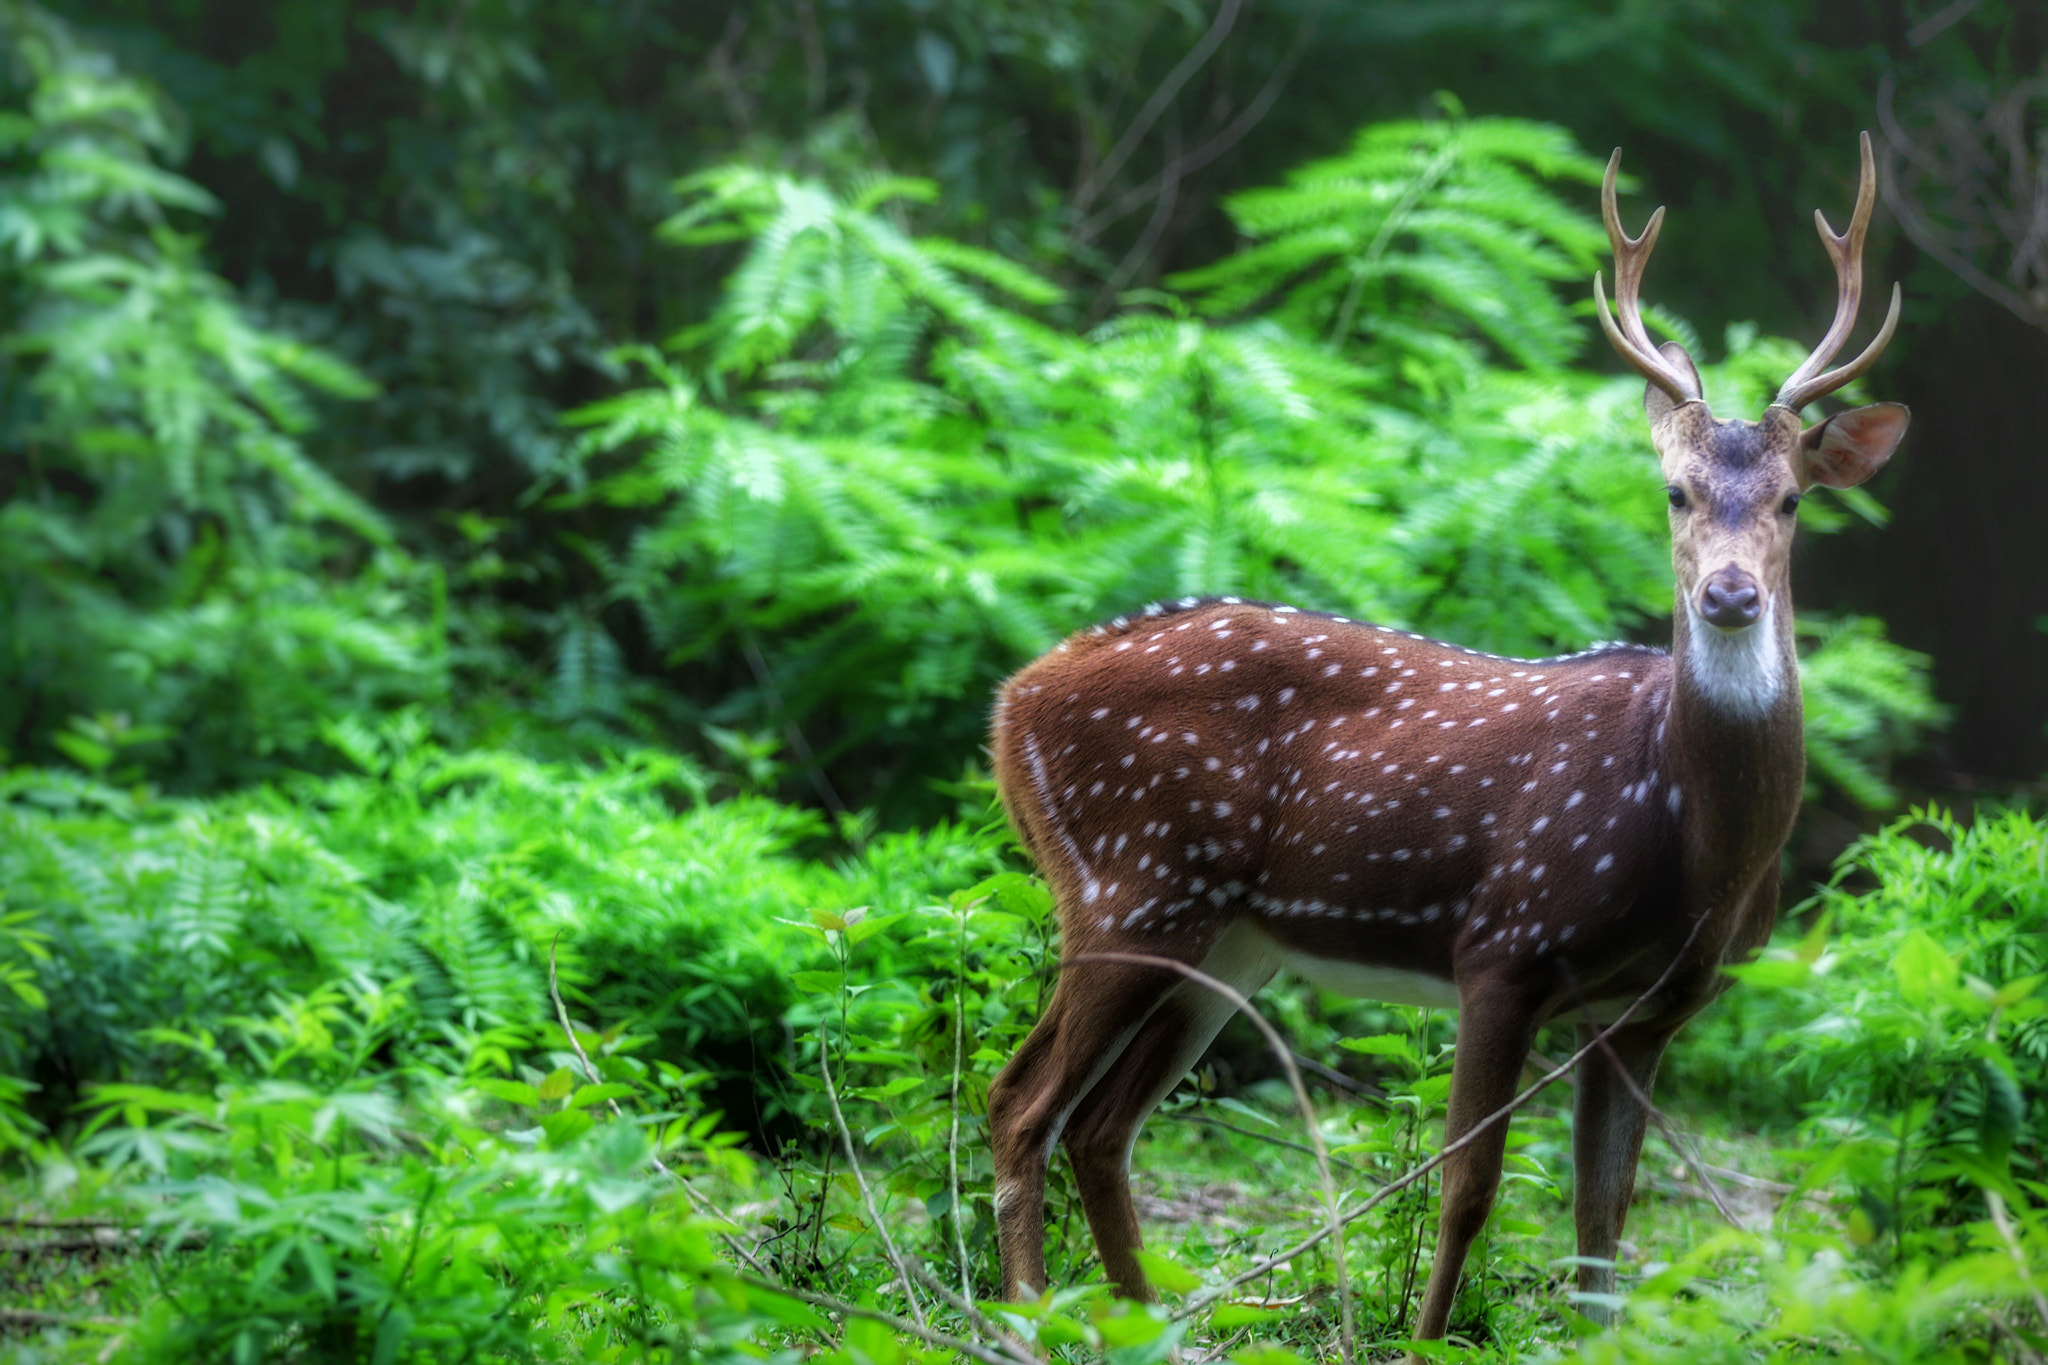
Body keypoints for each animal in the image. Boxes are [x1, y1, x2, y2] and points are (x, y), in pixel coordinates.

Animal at [983, 133, 1908, 1342]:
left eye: (1794, 500)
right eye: (1673, 491)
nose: (1728, 593)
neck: (1695, 839)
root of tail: (1012, 701)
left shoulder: (1649, 1010)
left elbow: (1602, 1224)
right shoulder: (1502, 942)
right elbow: (1467, 1185)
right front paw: (1423, 1343)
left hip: (1222, 941)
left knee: (1100, 1127)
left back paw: (1150, 1330)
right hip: (1127, 882)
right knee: (1019, 1102)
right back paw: (1024, 1318)